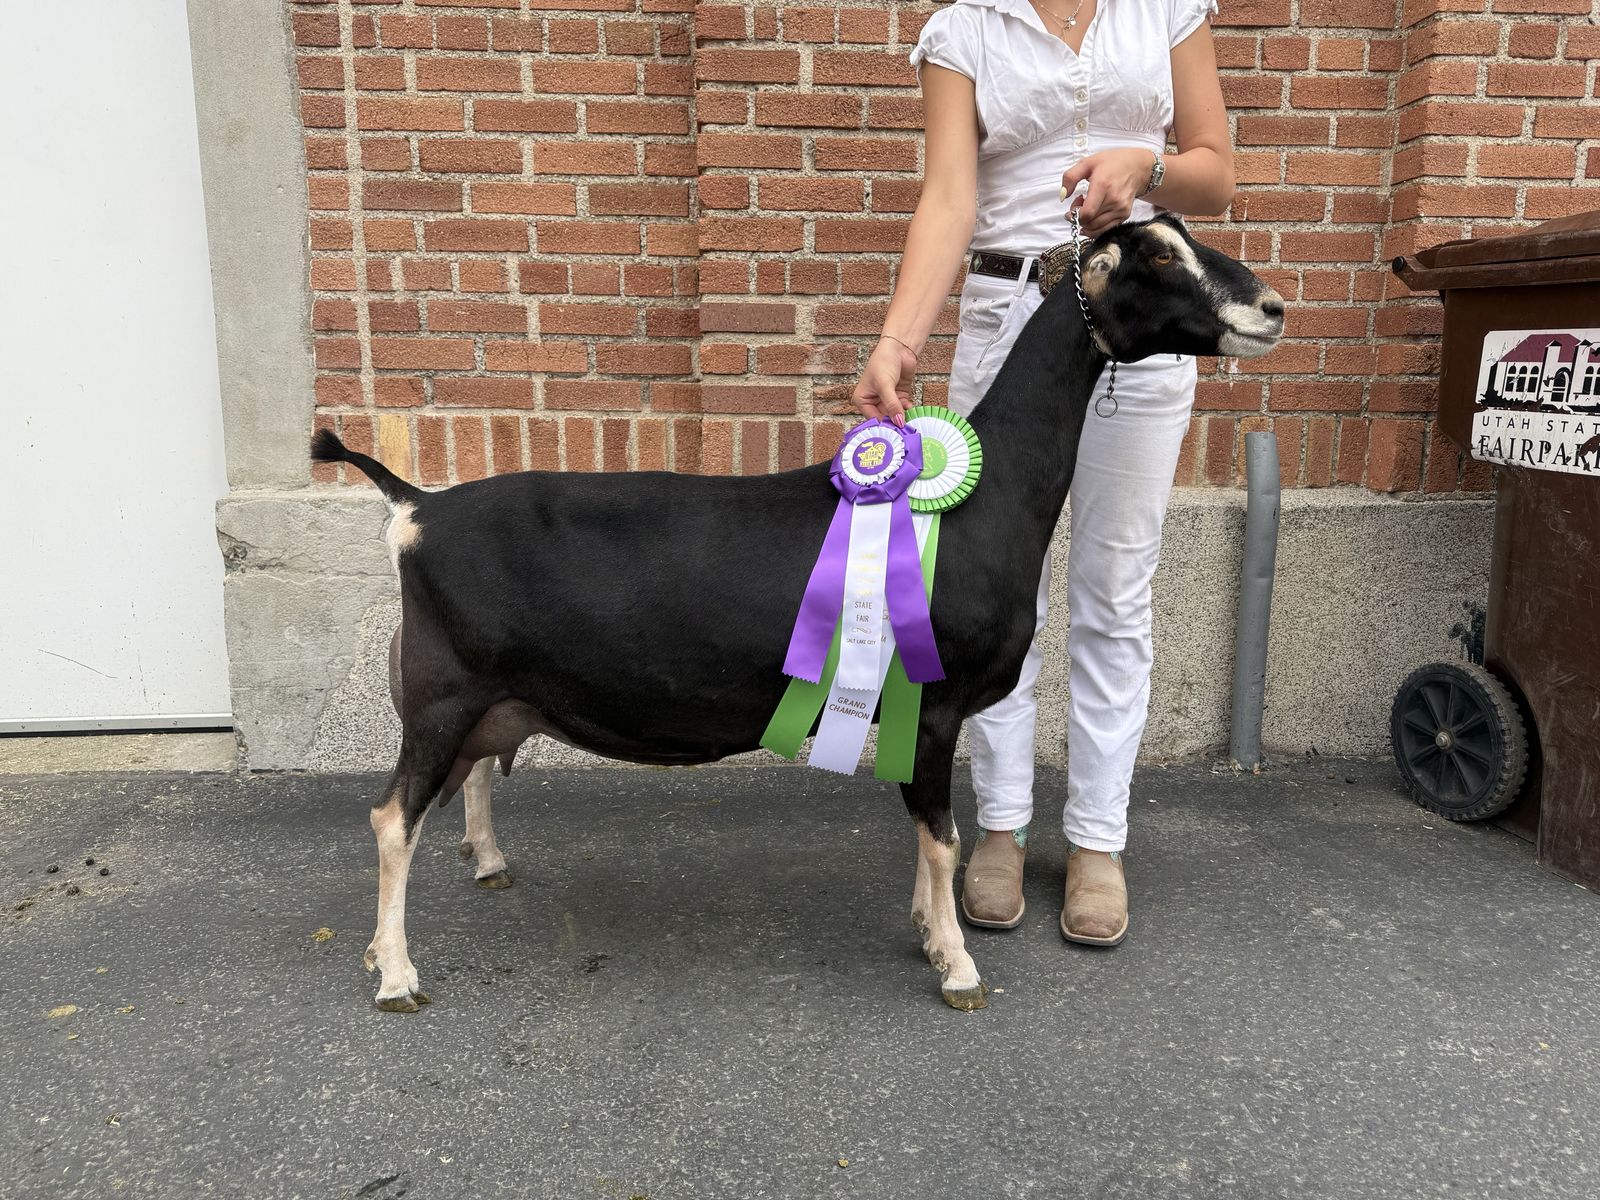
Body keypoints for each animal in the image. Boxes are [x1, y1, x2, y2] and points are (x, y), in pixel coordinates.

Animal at [312, 215, 1284, 1013]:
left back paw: (485, 865)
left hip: (486, 698)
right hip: (440, 694)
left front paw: (930, 933)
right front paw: (959, 966)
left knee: (466, 780)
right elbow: (942, 836)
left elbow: (924, 834)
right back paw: (396, 974)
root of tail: (417, 507)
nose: (1272, 308)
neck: (987, 494)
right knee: (393, 819)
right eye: (1160, 255)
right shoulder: (935, 706)